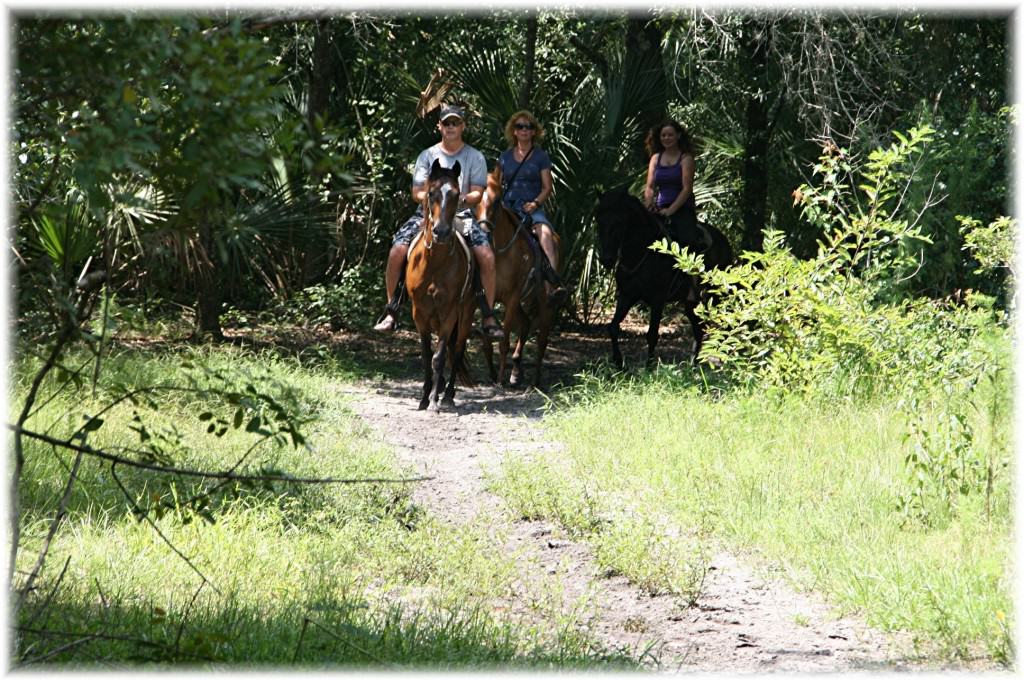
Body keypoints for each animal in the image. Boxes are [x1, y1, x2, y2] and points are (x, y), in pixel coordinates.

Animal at [403, 159, 475, 409]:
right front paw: (424, 397)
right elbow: (426, 355)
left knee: (457, 350)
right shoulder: (419, 311)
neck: (434, 264)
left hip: (465, 314)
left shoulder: (449, 311)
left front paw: (434, 399)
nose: (441, 232)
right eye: (432, 193)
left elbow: (440, 355)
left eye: (456, 194)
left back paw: (448, 394)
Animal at [473, 163, 561, 387]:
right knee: (527, 324)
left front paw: (499, 380)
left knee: (542, 339)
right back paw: (516, 372)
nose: (484, 232)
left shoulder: (512, 297)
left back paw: (535, 381)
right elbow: (487, 341)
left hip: (545, 303)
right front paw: (493, 374)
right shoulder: (486, 297)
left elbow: (504, 341)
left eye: (497, 200)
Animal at [598, 187, 733, 366]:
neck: (642, 251)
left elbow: (652, 335)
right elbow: (613, 327)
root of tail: (724, 242)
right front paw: (619, 362)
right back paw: (693, 364)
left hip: (716, 294)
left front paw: (648, 367)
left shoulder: (658, 299)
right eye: (598, 221)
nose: (606, 259)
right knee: (699, 329)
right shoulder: (627, 295)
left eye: (618, 223)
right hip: (690, 301)